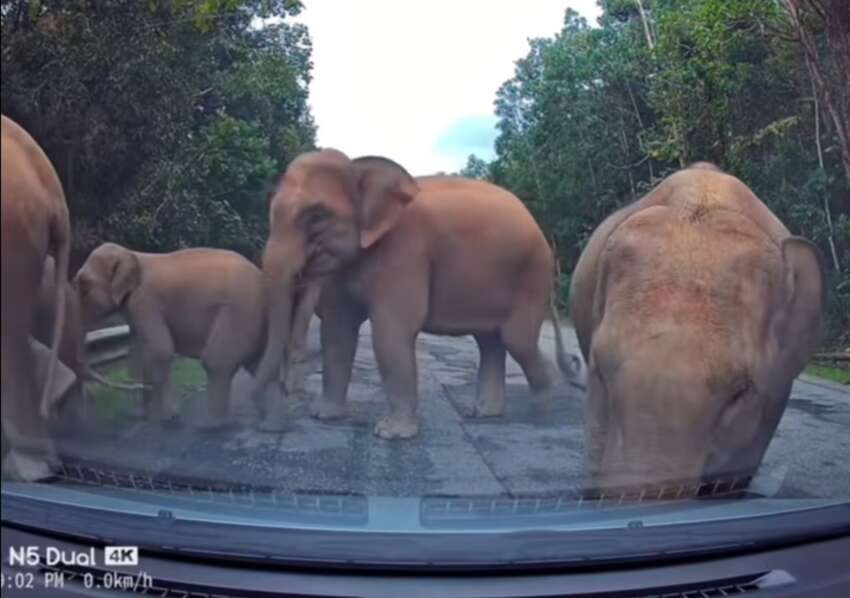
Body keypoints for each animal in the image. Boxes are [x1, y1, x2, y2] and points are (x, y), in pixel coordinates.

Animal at [74, 243, 272, 429]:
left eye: (83, 285)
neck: (131, 254)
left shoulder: (145, 302)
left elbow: (160, 349)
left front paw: (168, 419)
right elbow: (136, 352)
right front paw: (139, 415)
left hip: (239, 313)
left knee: (217, 362)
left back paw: (211, 425)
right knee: (256, 362)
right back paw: (267, 421)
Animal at [252, 149, 577, 438]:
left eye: (316, 216)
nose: (275, 423)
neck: (360, 165)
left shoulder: (406, 250)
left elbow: (391, 330)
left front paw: (390, 433)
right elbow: (337, 330)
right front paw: (324, 416)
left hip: (532, 276)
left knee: (516, 340)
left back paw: (540, 415)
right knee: (489, 342)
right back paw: (484, 413)